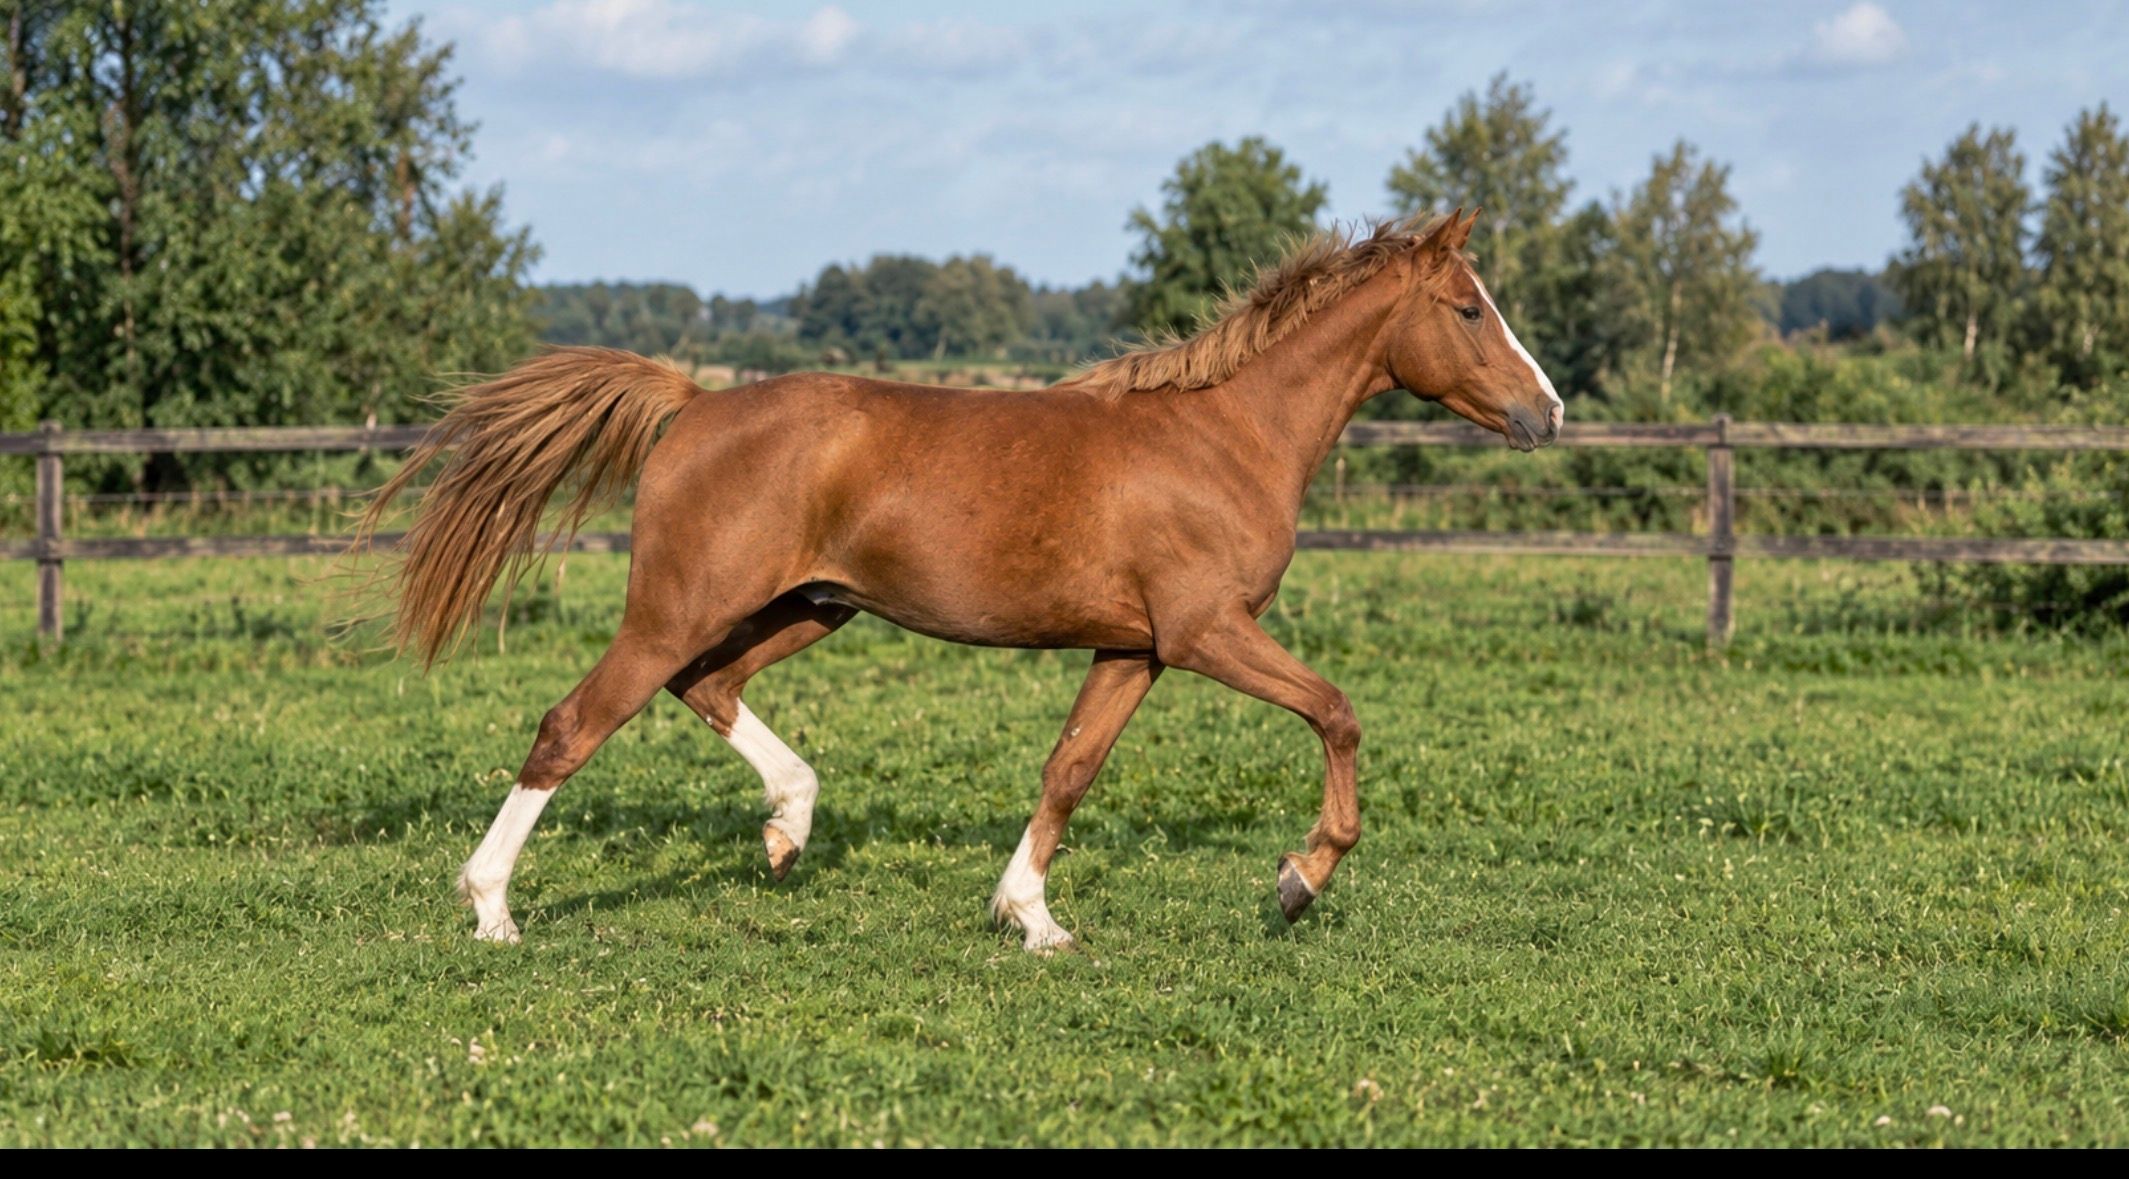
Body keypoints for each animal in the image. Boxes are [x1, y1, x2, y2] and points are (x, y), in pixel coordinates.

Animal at [353, 209, 1562, 953]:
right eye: (1467, 309)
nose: (1546, 413)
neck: (1225, 438)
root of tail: (694, 403)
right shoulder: (1203, 631)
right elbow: (1338, 712)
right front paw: (1298, 880)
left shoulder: (1133, 647)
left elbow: (1069, 769)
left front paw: (1030, 918)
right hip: (681, 605)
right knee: (575, 722)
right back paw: (493, 910)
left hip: (808, 607)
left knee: (706, 686)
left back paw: (787, 831)